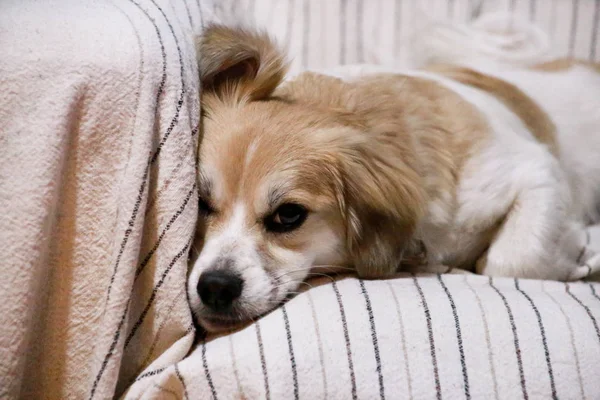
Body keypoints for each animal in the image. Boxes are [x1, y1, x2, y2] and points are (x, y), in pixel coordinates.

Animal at [188, 24, 600, 332]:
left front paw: (579, 257)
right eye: (201, 203)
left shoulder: (535, 170)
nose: (214, 287)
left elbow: (511, 258)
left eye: (289, 215)